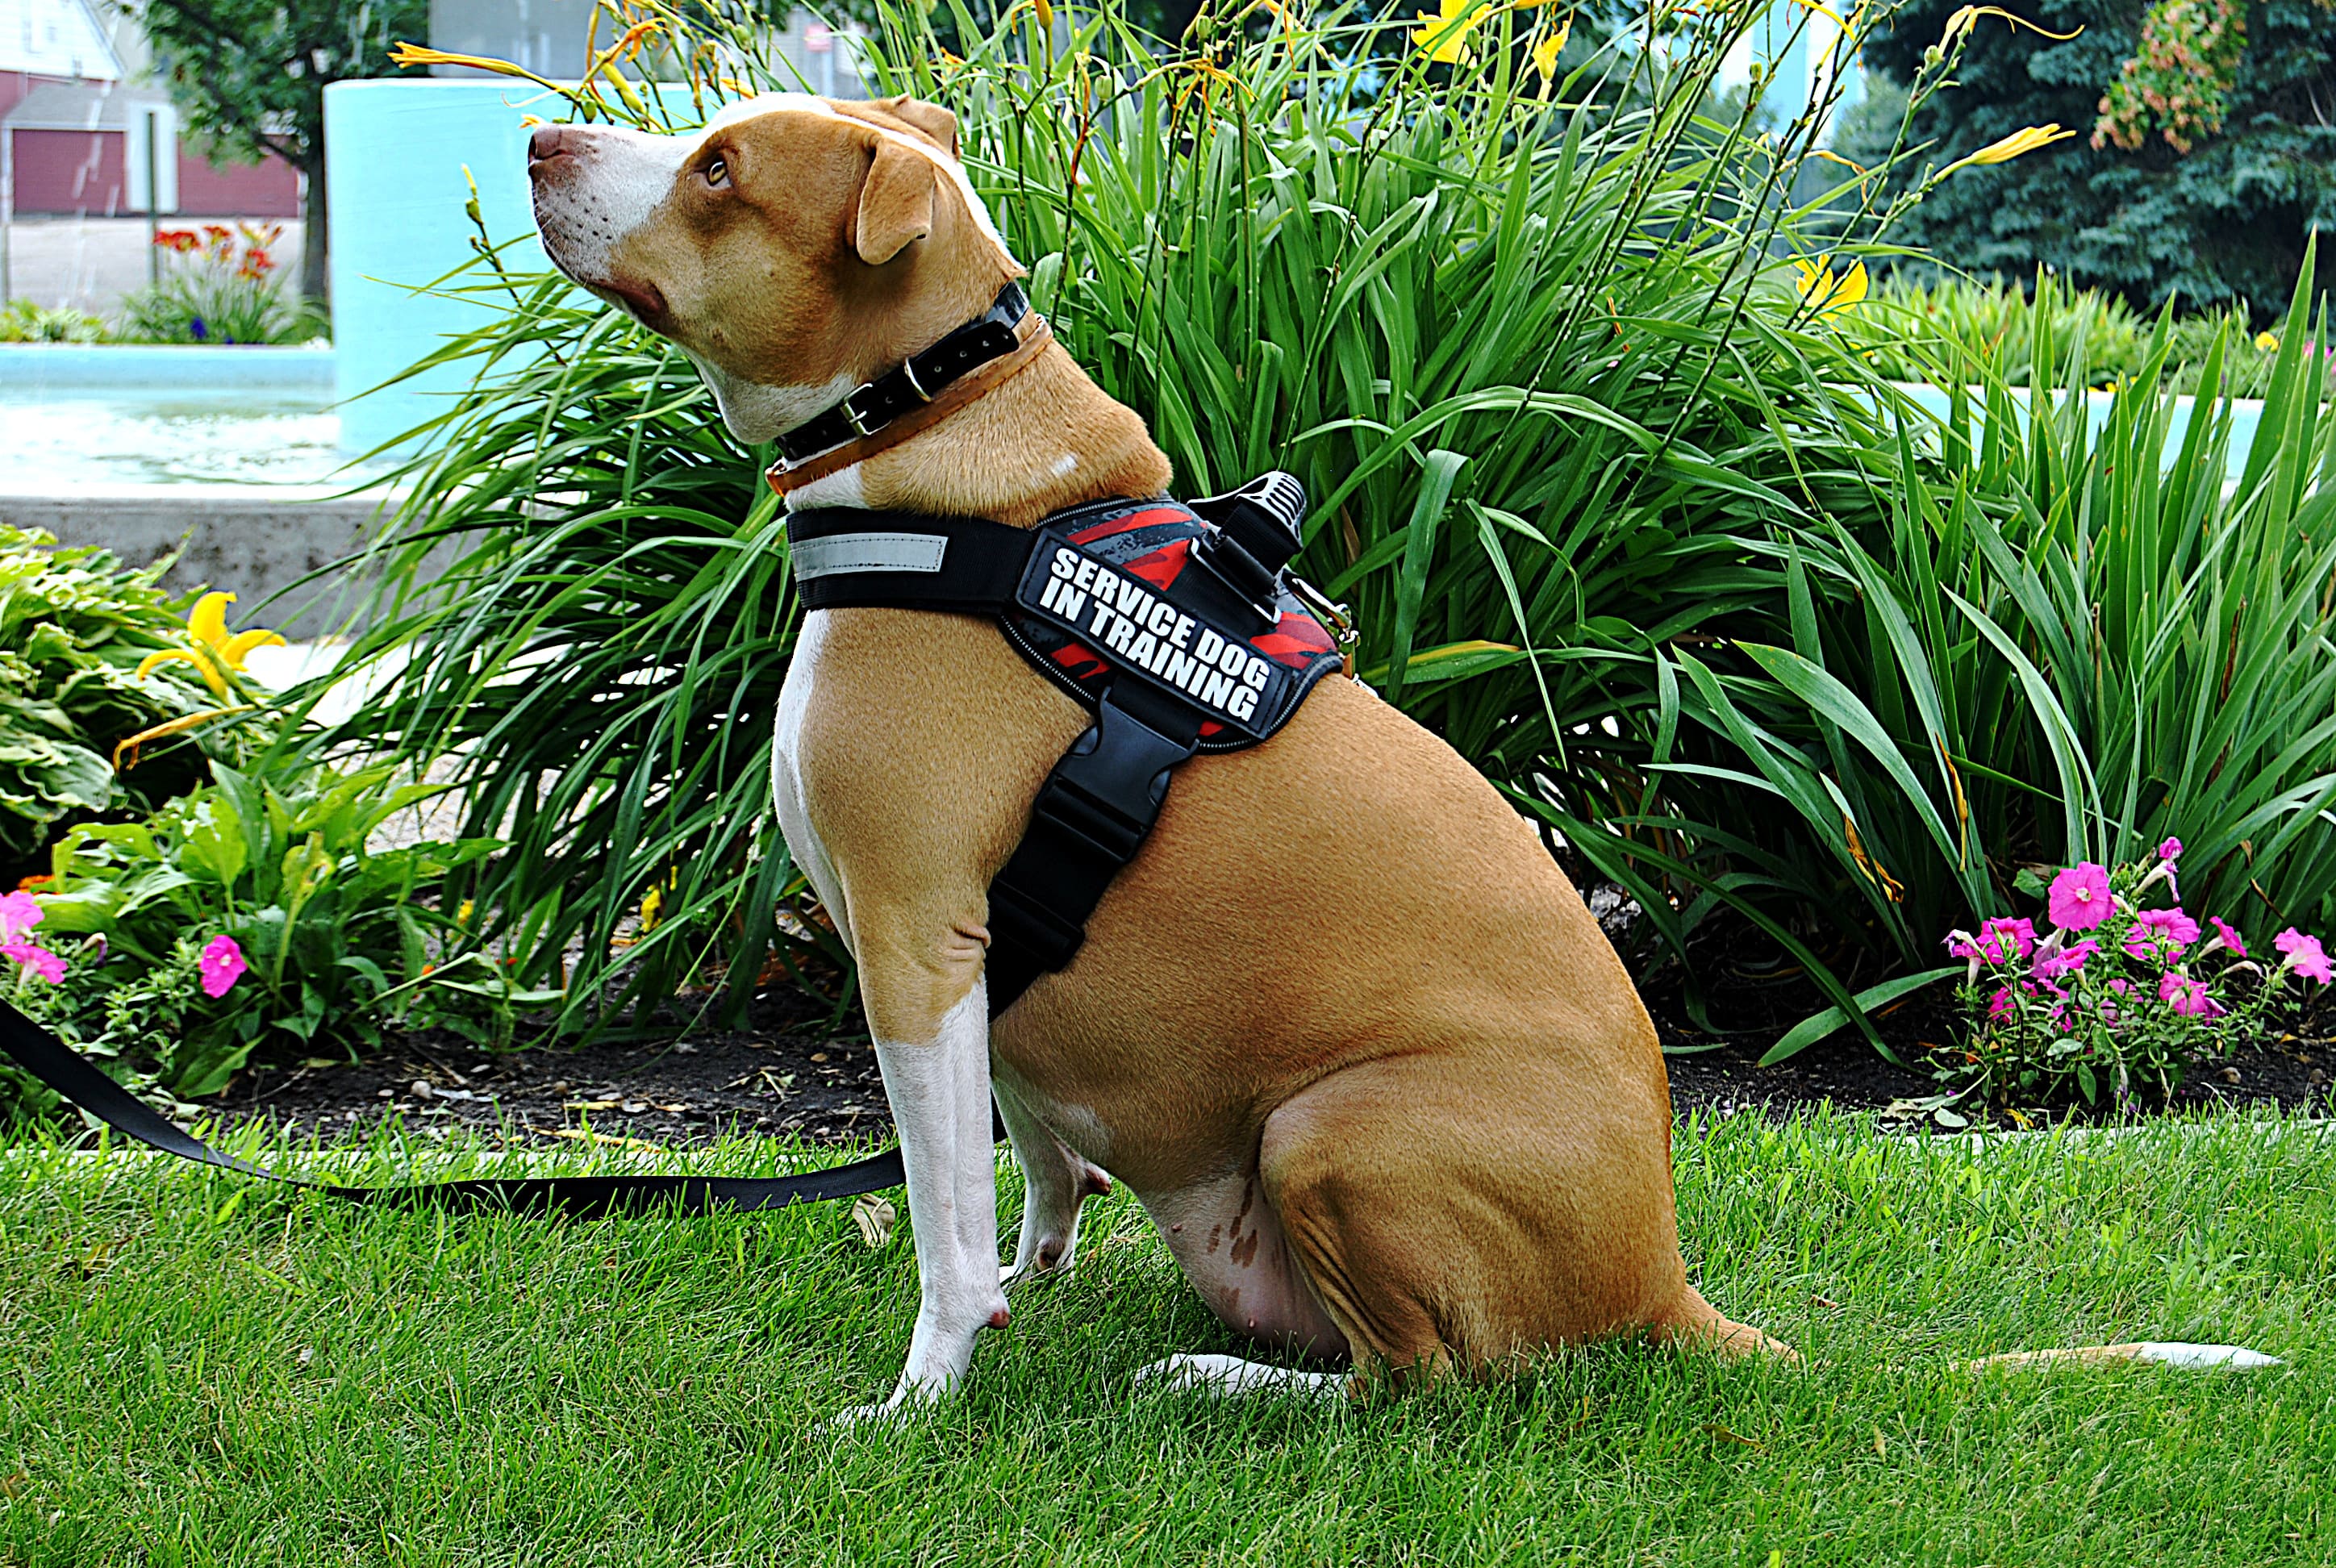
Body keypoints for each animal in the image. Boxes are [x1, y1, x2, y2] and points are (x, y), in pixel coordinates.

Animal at [530, 85, 1794, 1420]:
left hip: (1334, 1127)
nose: (538, 143)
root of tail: (1659, 1277)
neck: (945, 450)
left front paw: (923, 1393)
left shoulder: (913, 941)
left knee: (1417, 1383)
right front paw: (1032, 1273)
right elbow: (1026, 1146)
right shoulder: (983, 966)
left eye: (719, 171)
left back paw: (1209, 1378)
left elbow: (942, 1219)